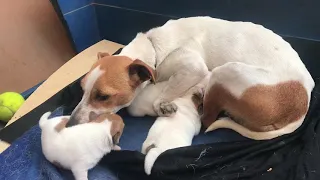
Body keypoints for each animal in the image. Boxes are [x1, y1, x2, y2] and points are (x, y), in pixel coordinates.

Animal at [66, 16, 314, 138]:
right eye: (82, 89)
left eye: (104, 96)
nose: (70, 124)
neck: (153, 49)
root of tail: (301, 107)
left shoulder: (193, 68)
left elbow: (162, 97)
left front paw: (163, 106)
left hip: (225, 72)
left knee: (208, 119)